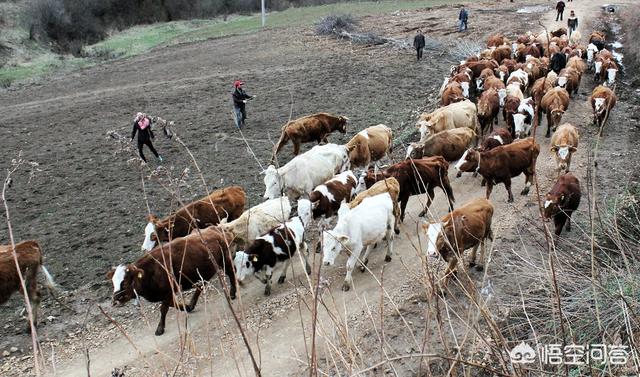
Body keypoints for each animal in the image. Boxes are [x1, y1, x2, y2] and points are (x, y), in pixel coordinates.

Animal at [107, 225, 238, 334]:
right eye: (113, 283)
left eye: (125, 282)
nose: (115, 301)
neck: (151, 270)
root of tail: (215, 229)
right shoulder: (168, 292)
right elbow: (171, 304)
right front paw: (185, 307)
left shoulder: (169, 290)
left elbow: (163, 308)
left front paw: (160, 328)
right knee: (201, 285)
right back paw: (191, 304)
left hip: (224, 260)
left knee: (231, 273)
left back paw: (232, 293)